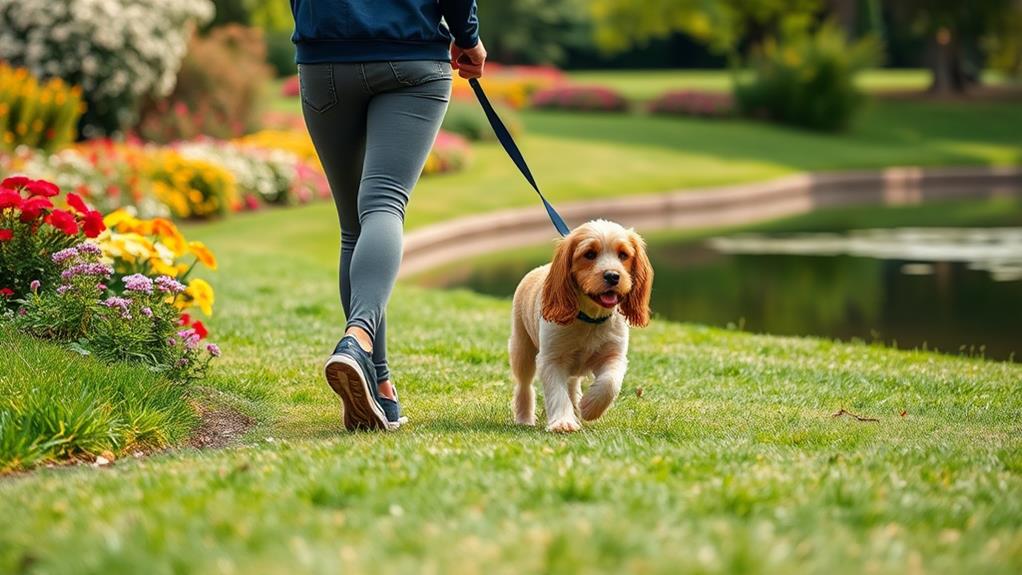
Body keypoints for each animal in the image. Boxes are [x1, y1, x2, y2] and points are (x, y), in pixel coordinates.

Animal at [508, 219, 654, 433]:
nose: (612, 276)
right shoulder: (551, 359)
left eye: (623, 255)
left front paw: (589, 407)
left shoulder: (614, 355)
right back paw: (524, 418)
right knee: (524, 385)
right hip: (522, 349)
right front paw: (563, 422)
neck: (590, 319)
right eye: (590, 254)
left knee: (571, 383)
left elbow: (609, 383)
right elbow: (557, 392)